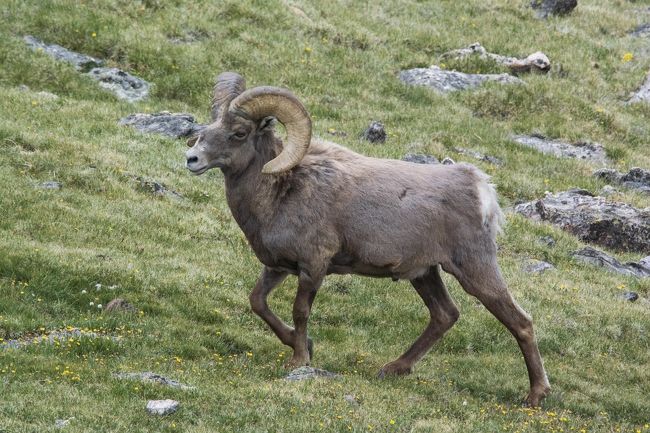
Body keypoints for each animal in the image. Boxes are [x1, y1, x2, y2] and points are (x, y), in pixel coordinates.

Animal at [185, 71, 548, 404]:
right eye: (210, 125)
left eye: (239, 133)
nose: (192, 159)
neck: (281, 191)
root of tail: (480, 188)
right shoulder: (277, 267)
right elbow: (258, 302)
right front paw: (304, 346)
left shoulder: (313, 266)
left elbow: (300, 311)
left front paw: (299, 360)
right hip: (424, 274)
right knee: (445, 315)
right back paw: (394, 368)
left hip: (474, 269)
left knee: (521, 322)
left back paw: (535, 395)